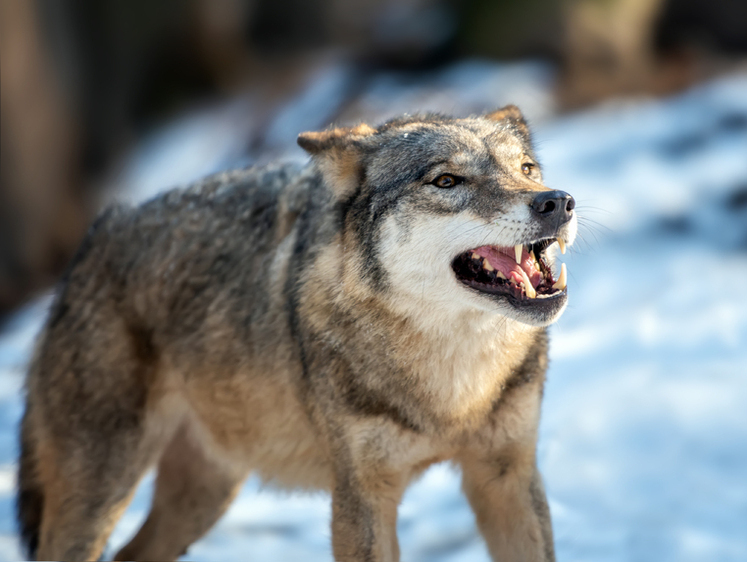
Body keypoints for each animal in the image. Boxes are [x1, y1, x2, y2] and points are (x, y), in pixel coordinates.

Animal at [16, 104, 580, 556]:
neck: (454, 391)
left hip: (203, 495)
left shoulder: (508, 478)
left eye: (526, 169)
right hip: (100, 495)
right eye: (446, 181)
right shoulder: (360, 496)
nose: (557, 201)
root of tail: (95, 237)